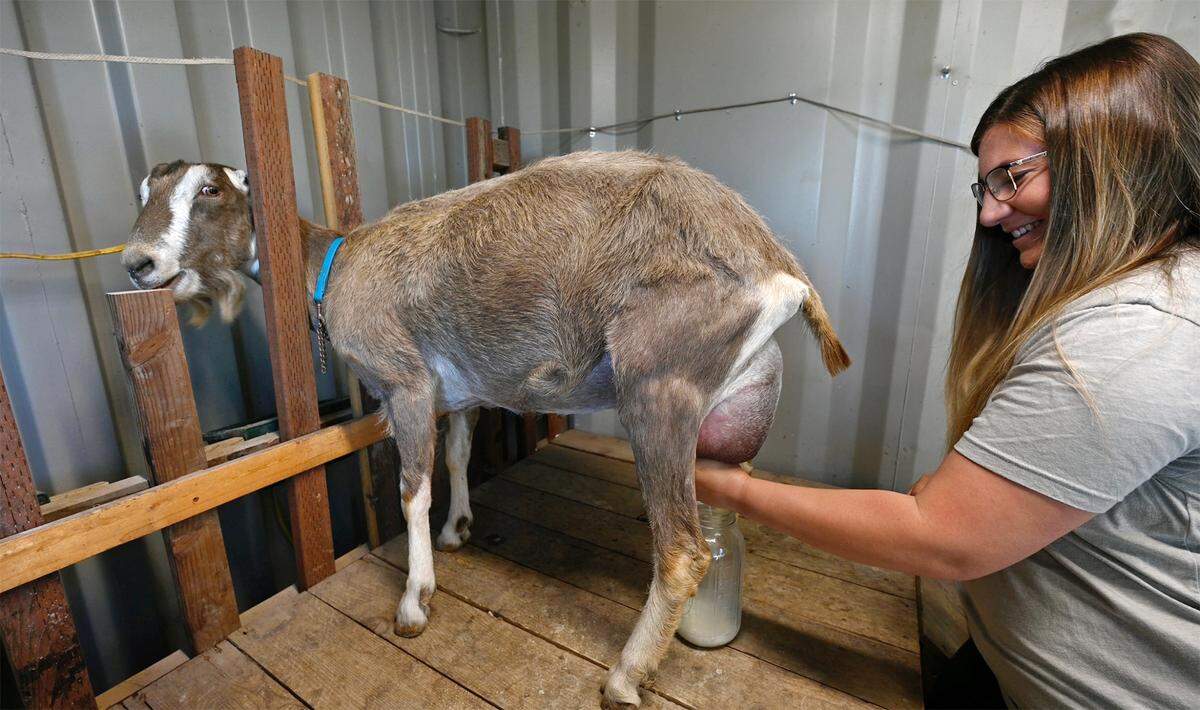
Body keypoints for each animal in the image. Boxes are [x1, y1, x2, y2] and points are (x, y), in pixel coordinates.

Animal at [122, 151, 850, 707]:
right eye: (145, 192)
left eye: (210, 190)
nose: (137, 263)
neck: (334, 262)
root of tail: (778, 263)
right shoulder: (460, 392)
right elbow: (456, 457)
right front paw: (458, 530)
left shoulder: (407, 382)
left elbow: (412, 488)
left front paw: (415, 601)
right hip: (738, 397)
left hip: (658, 383)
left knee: (683, 551)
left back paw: (624, 676)